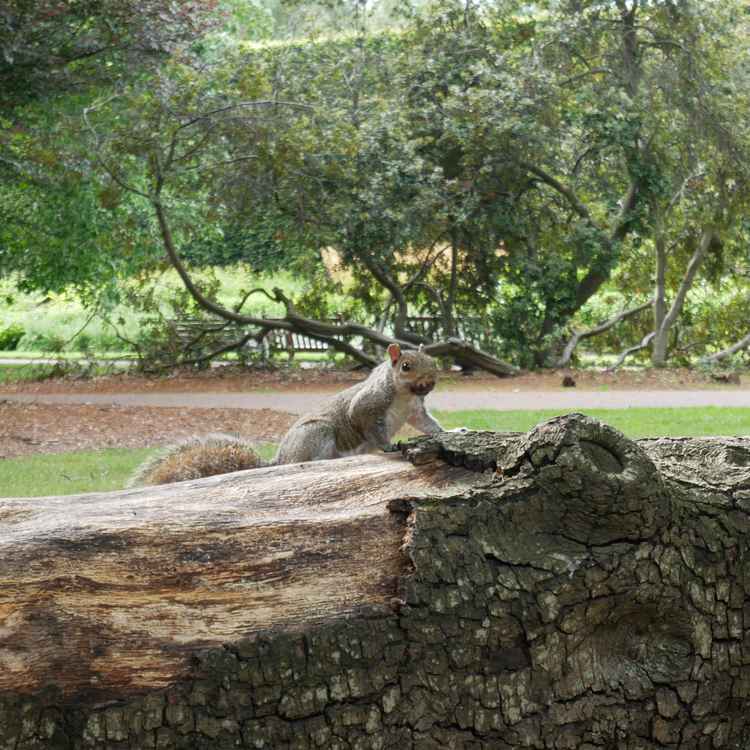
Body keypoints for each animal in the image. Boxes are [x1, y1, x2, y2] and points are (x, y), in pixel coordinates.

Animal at [129, 343, 445, 487]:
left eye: (433, 361)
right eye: (406, 366)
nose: (431, 382)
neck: (404, 395)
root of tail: (280, 459)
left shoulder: (415, 410)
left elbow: (427, 423)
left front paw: (444, 432)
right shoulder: (367, 405)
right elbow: (367, 425)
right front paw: (387, 445)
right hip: (317, 433)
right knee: (308, 461)